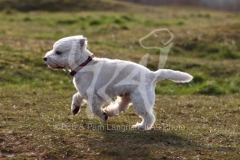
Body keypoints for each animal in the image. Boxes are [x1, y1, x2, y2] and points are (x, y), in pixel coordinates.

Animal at [43, 35, 193, 130]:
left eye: (58, 52)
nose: (45, 58)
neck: (83, 65)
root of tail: (152, 75)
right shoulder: (85, 91)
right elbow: (76, 96)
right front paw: (75, 108)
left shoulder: (95, 95)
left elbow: (95, 108)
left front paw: (102, 116)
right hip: (126, 96)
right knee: (120, 107)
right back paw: (109, 111)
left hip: (140, 100)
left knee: (149, 116)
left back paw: (141, 126)